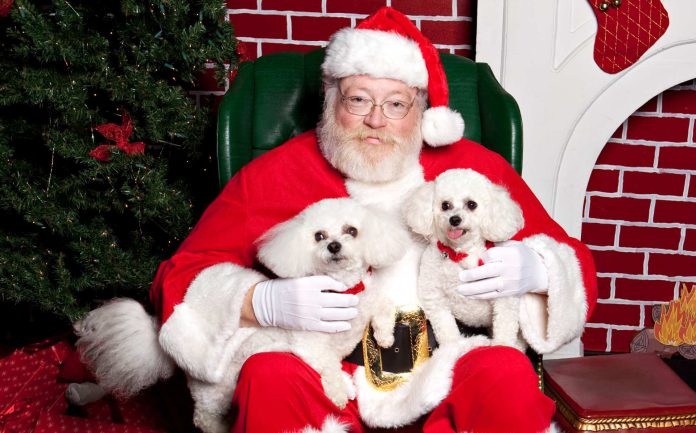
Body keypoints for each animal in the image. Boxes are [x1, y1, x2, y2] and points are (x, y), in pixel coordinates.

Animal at [188, 197, 410, 432]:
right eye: (319, 236)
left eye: (352, 230)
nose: (333, 246)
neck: (342, 289)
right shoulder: (311, 345)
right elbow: (329, 365)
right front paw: (340, 389)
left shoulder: (367, 299)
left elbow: (384, 305)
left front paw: (385, 336)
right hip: (214, 390)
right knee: (203, 416)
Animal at [406, 169, 524, 352]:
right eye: (445, 205)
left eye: (471, 204)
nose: (454, 219)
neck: (460, 253)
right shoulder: (435, 298)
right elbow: (446, 327)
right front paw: (454, 348)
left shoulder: (505, 296)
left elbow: (505, 323)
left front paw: (503, 344)